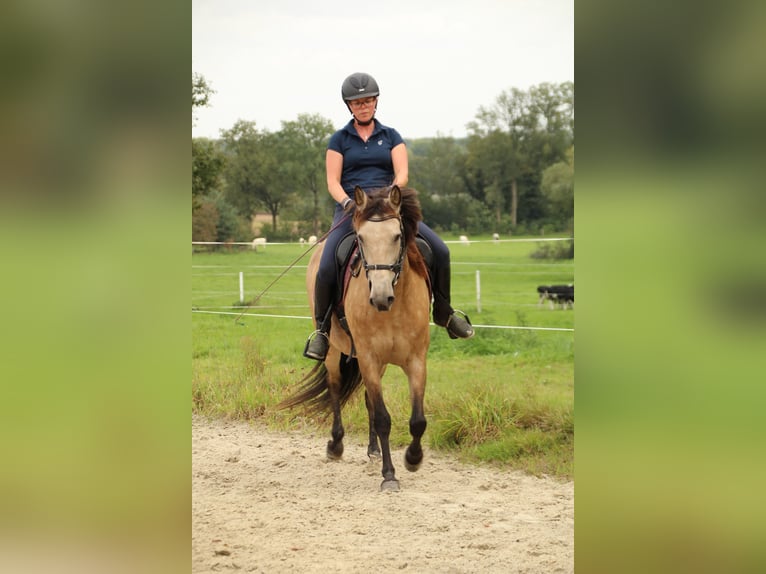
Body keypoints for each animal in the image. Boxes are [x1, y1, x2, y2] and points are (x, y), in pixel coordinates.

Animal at [280, 187, 432, 492]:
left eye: (397, 236)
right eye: (361, 238)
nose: (381, 297)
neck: (392, 310)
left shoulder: (415, 360)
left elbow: (417, 420)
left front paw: (413, 458)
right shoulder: (370, 358)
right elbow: (384, 418)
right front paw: (390, 475)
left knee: (368, 400)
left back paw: (374, 450)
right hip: (333, 352)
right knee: (335, 388)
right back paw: (336, 445)